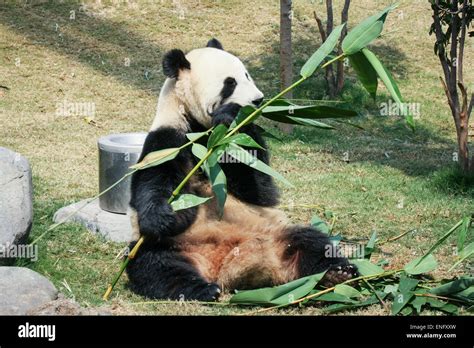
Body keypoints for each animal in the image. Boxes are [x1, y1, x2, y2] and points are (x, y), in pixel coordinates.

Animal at [126, 37, 356, 300]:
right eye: (230, 83)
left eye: (247, 75)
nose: (258, 100)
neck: (205, 133)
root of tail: (225, 267)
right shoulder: (169, 138)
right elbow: (155, 183)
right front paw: (162, 216)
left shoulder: (234, 145)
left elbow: (258, 188)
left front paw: (232, 116)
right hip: (172, 245)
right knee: (156, 264)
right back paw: (203, 289)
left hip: (275, 230)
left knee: (310, 241)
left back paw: (338, 273)